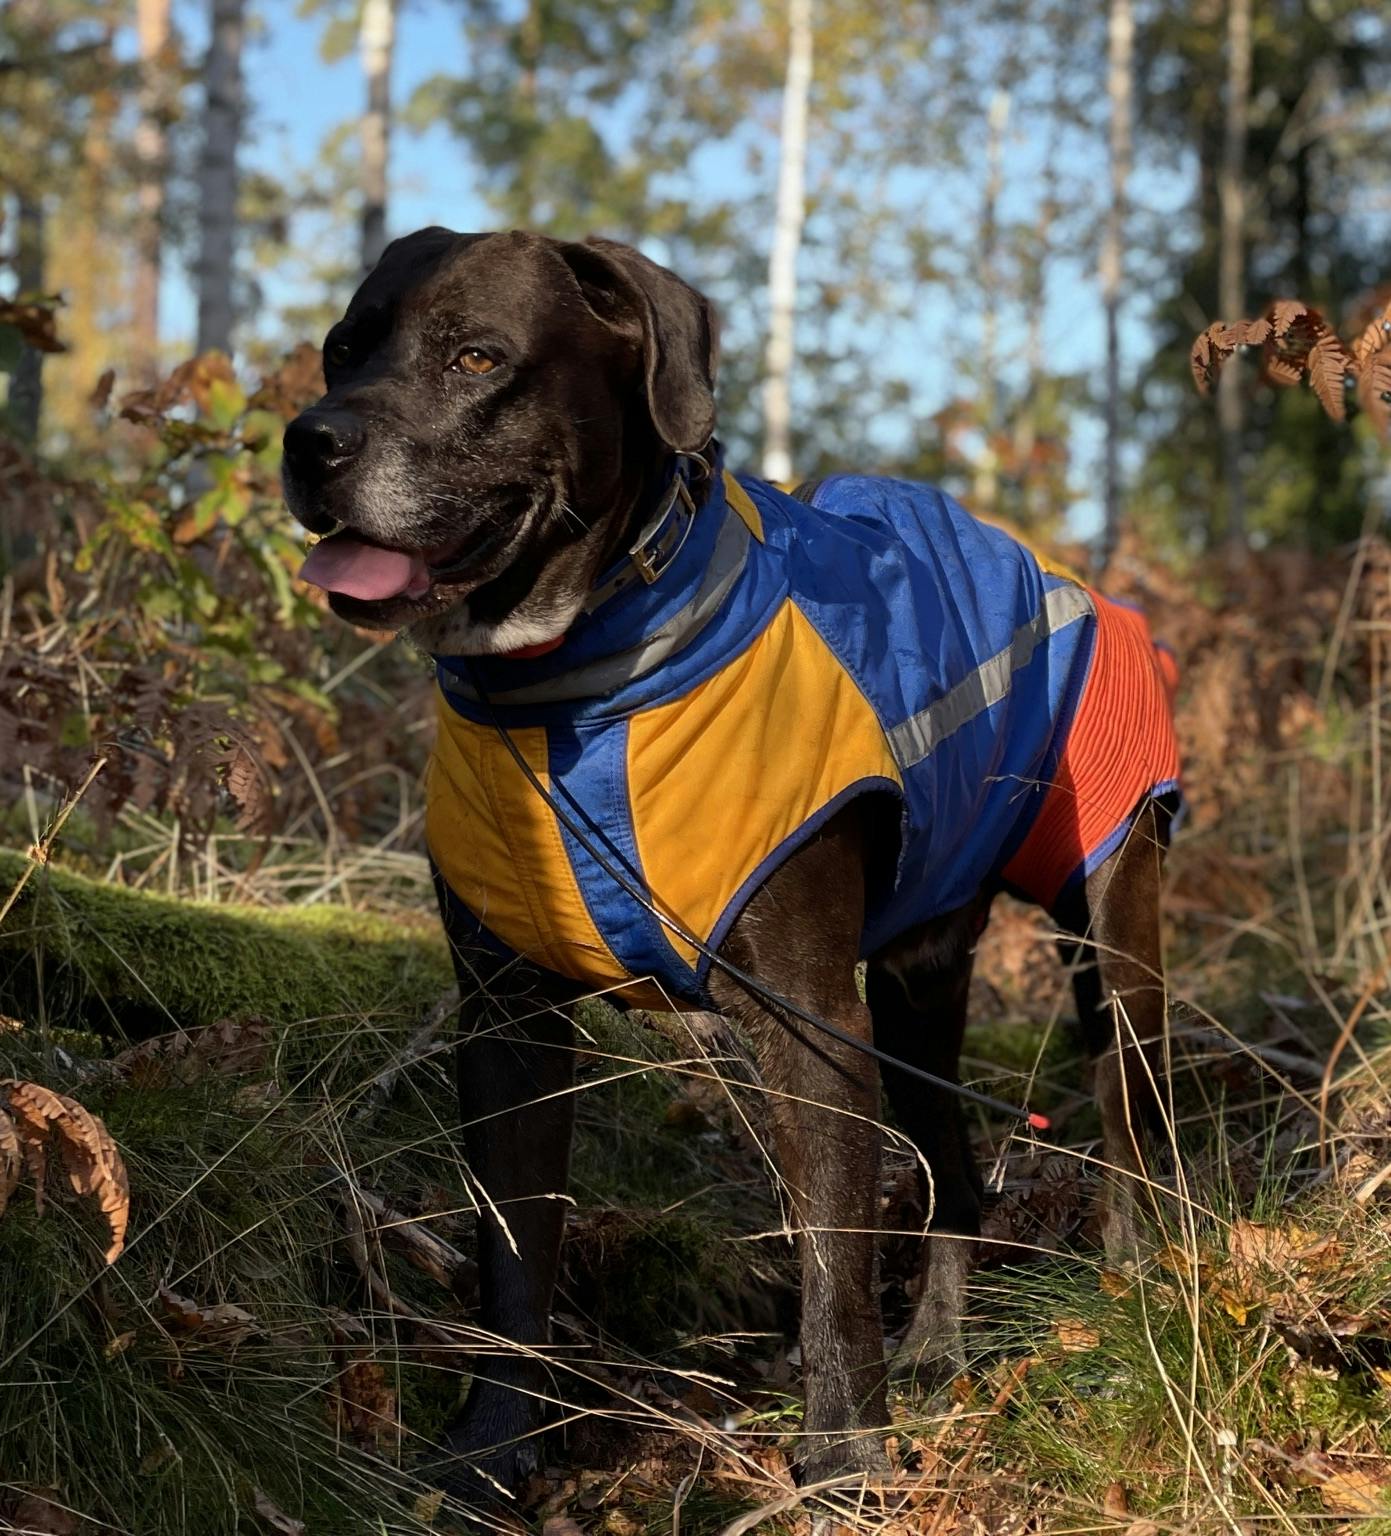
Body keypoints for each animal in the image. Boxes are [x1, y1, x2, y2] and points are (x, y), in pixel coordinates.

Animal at [284, 227, 1179, 1499]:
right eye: (341, 351)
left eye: (475, 357)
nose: (309, 442)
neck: (573, 688)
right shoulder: (506, 1025)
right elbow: (513, 1261)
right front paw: (487, 1455)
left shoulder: (809, 1024)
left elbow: (832, 1270)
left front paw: (843, 1462)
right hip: (914, 998)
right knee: (955, 1181)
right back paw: (936, 1347)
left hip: (1110, 945)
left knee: (1126, 1130)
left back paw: (1129, 1297)